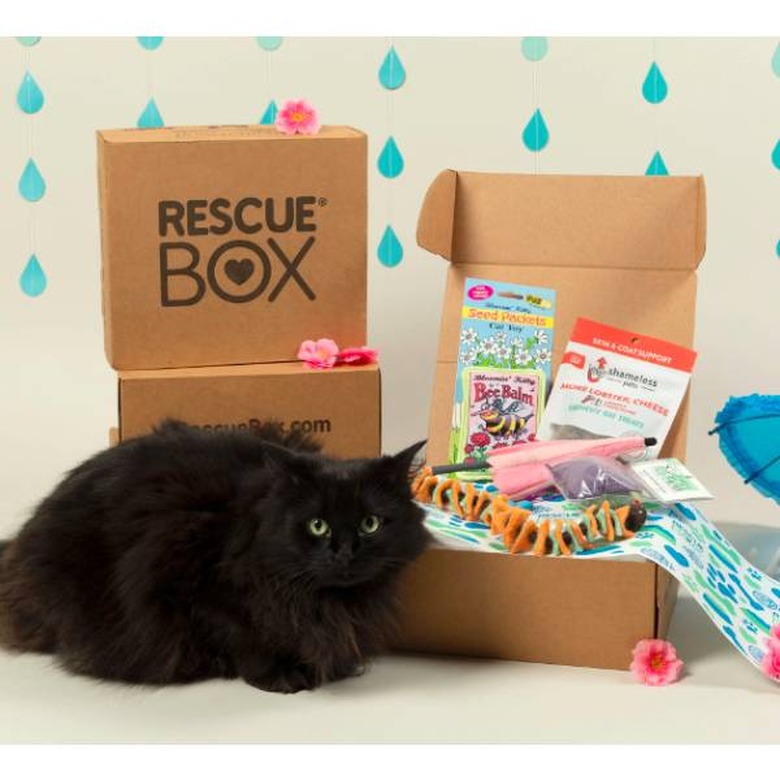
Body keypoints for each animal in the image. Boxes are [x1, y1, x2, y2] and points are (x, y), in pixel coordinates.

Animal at [0, 420, 426, 696]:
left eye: (370, 524)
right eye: (317, 526)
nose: (345, 552)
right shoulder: (196, 589)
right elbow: (244, 638)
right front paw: (281, 675)